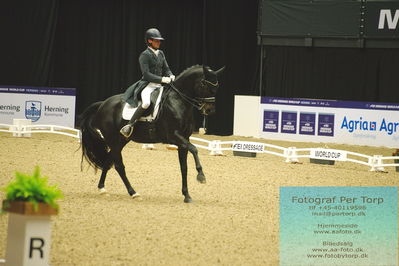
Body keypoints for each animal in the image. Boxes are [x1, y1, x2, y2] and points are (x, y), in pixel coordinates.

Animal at [76, 65, 223, 203]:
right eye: (204, 84)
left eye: (217, 86)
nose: (209, 110)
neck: (177, 101)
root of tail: (103, 104)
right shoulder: (174, 137)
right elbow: (194, 149)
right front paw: (201, 176)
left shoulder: (183, 140)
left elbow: (184, 167)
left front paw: (187, 196)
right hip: (113, 140)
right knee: (119, 166)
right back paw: (133, 193)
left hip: (121, 140)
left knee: (108, 162)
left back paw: (102, 189)